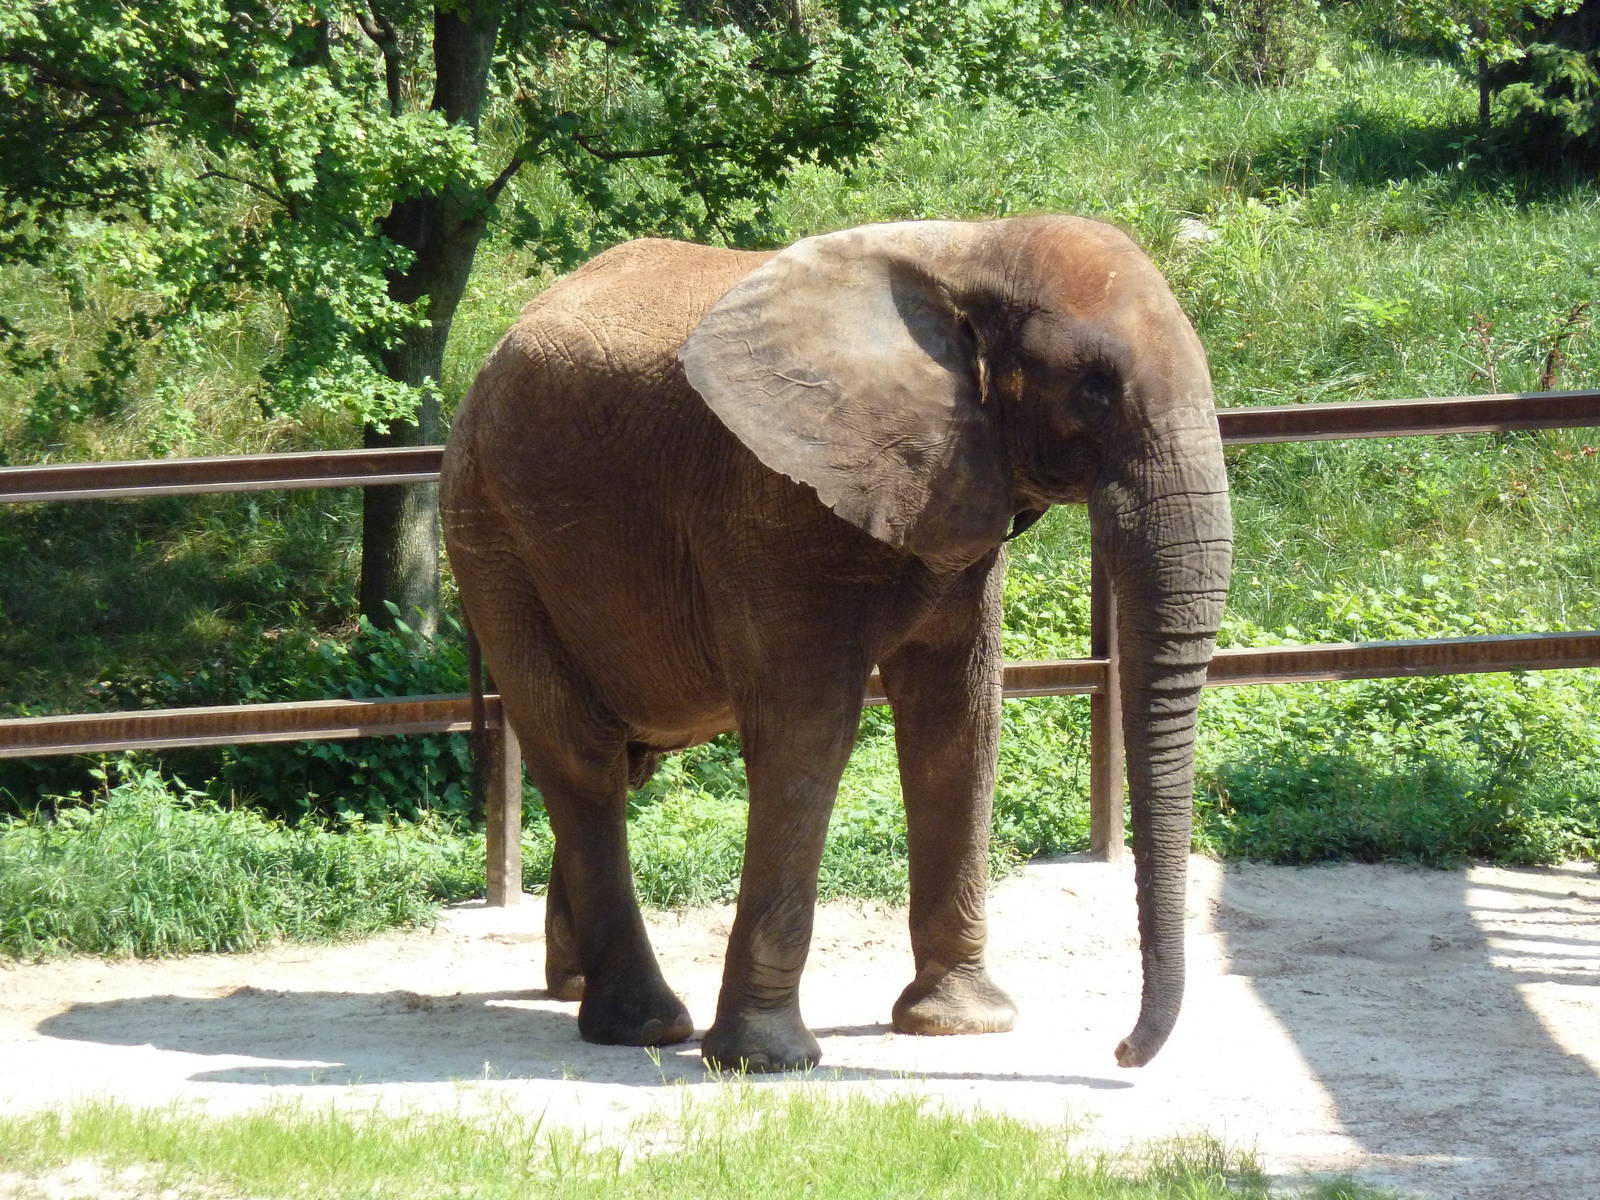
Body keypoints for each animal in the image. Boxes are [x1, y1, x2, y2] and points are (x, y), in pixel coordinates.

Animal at [440, 215, 1232, 1072]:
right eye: (1095, 385)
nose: (1121, 1052)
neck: (975, 248)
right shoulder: (769, 497)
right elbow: (808, 734)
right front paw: (765, 1061)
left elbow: (959, 724)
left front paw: (960, 1025)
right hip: (490, 532)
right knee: (581, 755)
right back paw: (645, 1025)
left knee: (621, 755)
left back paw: (573, 988)